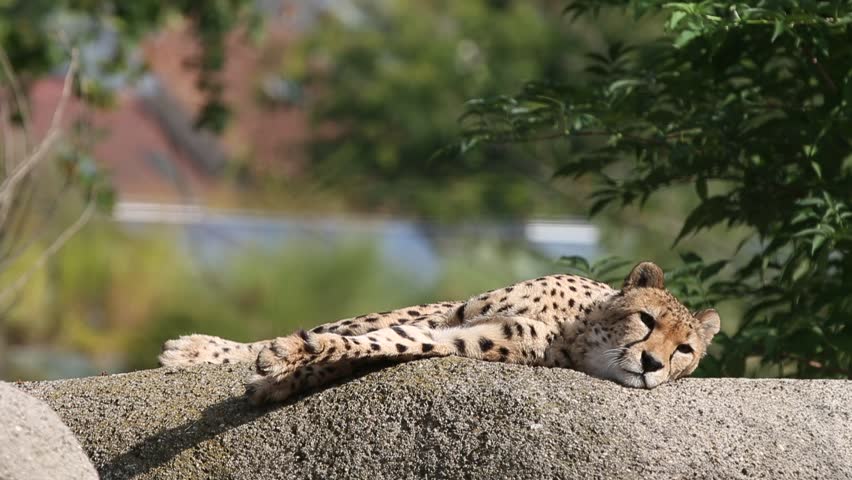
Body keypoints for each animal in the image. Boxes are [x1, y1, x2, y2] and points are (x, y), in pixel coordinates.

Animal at [159, 261, 720, 404]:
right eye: (647, 321)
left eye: (684, 350)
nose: (651, 365)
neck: (582, 334)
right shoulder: (456, 310)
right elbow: (358, 330)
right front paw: (278, 356)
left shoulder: (471, 337)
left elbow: (387, 344)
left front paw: (283, 373)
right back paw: (195, 349)